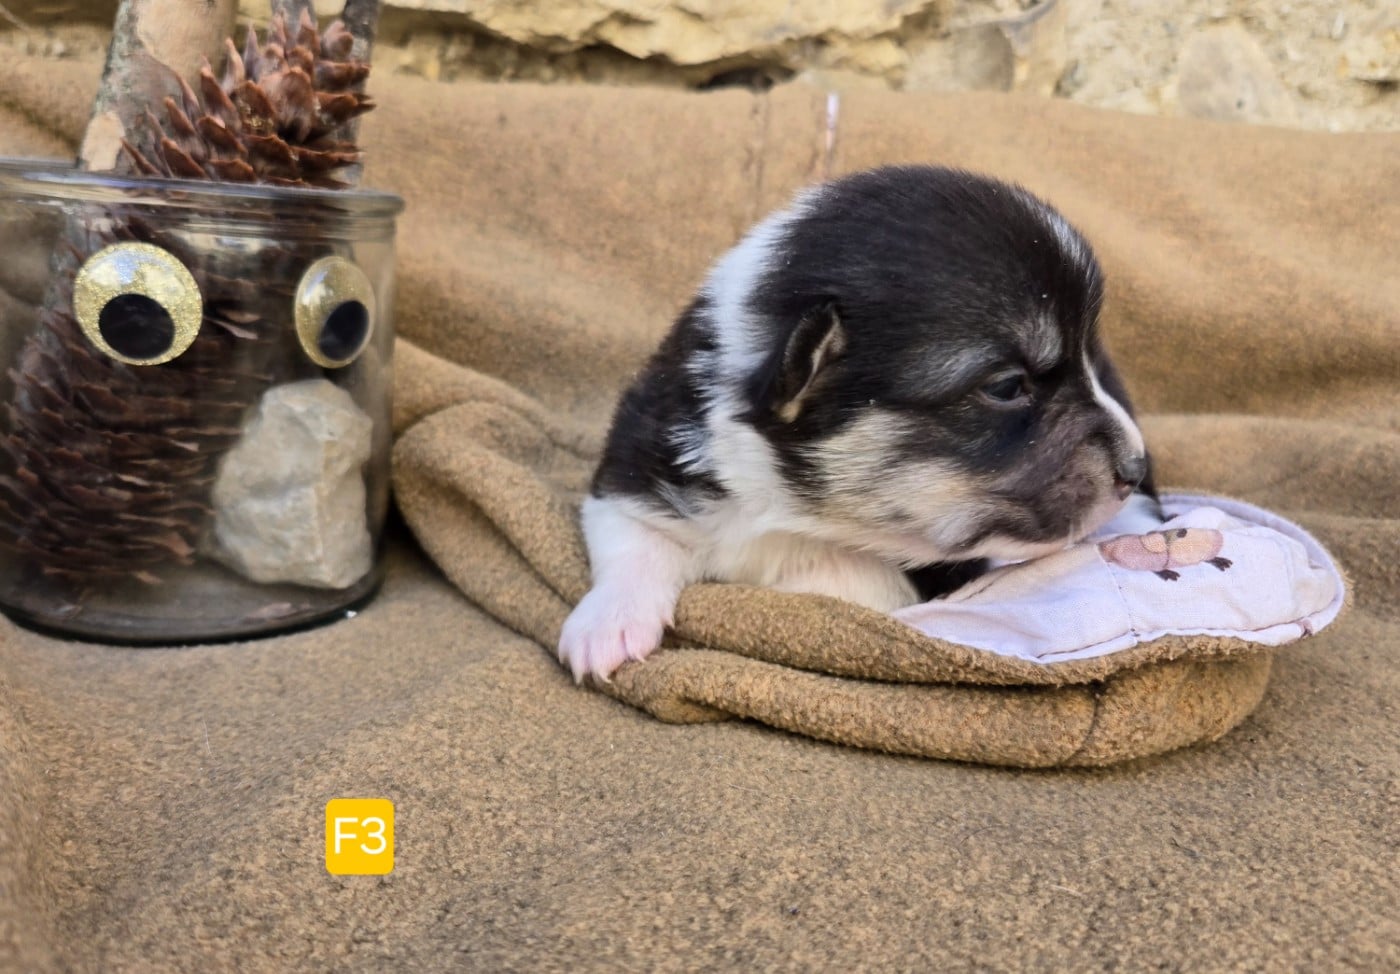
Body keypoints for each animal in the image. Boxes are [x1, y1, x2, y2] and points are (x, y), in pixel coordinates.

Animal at [558, 165, 1157, 682]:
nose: (1136, 467)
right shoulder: (639, 471)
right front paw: (605, 629)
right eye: (1008, 387)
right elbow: (634, 543)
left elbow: (844, 581)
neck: (794, 509)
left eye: (1090, 358)